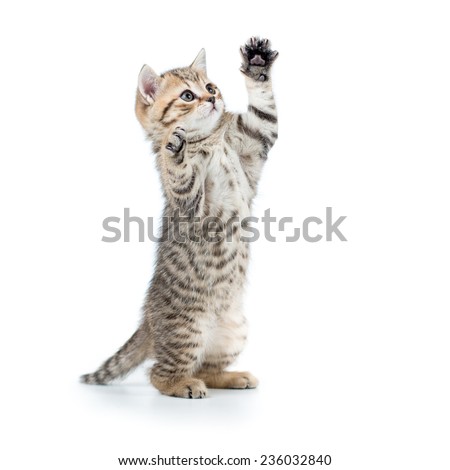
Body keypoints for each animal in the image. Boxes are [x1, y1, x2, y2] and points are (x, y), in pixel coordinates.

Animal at [81, 36, 278, 398]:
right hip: (187, 330)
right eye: (188, 95)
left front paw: (257, 63)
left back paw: (232, 377)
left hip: (234, 331)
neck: (210, 140)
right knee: (159, 374)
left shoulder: (256, 138)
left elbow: (264, 109)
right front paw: (175, 149)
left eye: (210, 86)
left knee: (208, 369)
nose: (212, 98)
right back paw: (182, 384)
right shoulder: (191, 206)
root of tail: (147, 322)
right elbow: (181, 177)